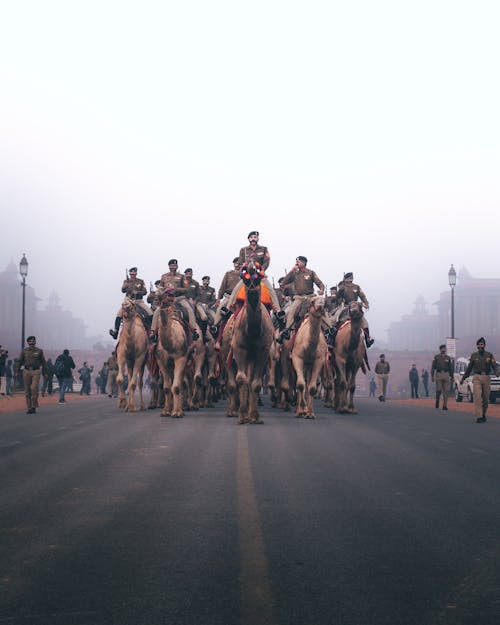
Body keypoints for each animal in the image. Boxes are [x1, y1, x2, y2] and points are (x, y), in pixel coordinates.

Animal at [230, 260, 274, 426]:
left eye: (259, 276)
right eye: (245, 278)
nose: (251, 267)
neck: (253, 331)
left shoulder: (262, 351)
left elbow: (255, 383)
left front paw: (255, 416)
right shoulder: (240, 348)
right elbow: (241, 379)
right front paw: (242, 416)